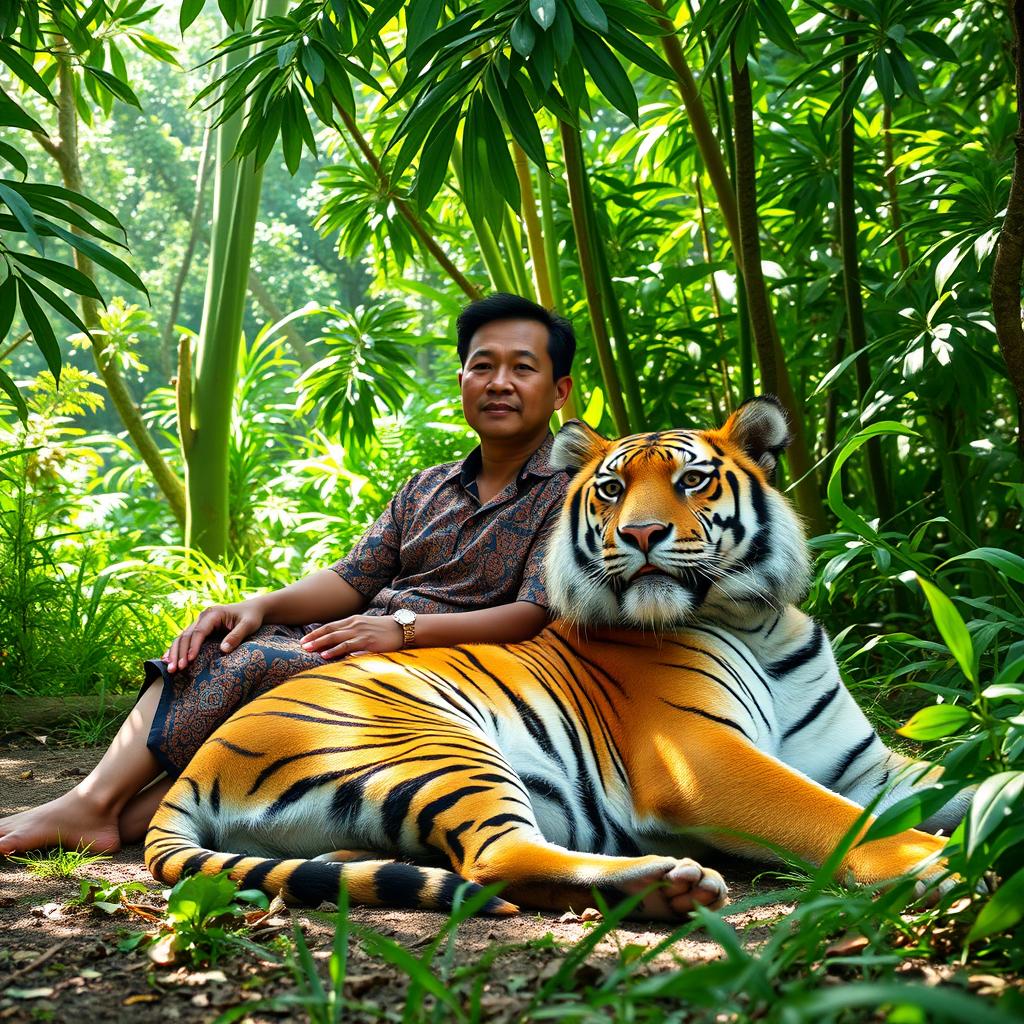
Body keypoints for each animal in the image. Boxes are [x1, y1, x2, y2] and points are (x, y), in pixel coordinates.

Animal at [146, 397, 966, 921]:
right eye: (610, 488)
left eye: (692, 480)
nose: (640, 534)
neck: (758, 619)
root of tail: (196, 763)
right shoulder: (702, 760)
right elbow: (836, 817)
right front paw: (936, 860)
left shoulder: (866, 767)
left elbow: (952, 778)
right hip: (434, 743)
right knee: (495, 858)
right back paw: (665, 884)